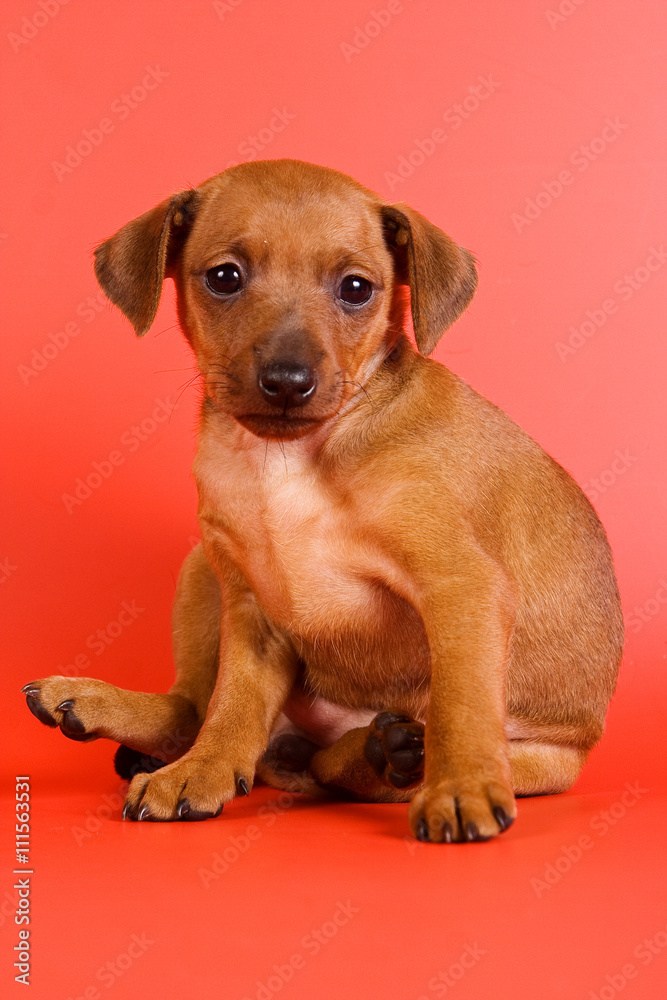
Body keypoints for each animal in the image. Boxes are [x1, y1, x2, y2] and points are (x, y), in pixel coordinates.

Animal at [22, 160, 628, 840]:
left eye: (356, 288)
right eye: (225, 277)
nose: (288, 381)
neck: (289, 458)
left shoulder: (460, 585)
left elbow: (461, 705)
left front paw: (461, 787)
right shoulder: (250, 606)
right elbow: (231, 706)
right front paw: (200, 771)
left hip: (539, 758)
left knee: (345, 761)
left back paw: (387, 752)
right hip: (200, 570)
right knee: (197, 709)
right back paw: (102, 706)